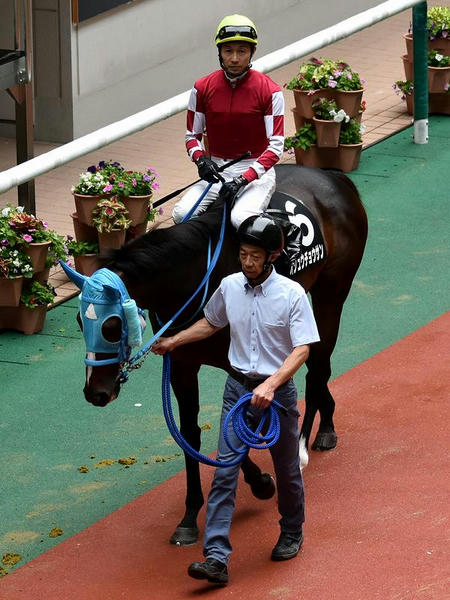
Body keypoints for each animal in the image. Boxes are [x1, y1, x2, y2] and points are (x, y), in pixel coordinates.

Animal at [65, 163, 368, 544]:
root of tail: (332, 176)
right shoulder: (182, 363)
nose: (96, 393)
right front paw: (190, 515)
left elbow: (239, 422)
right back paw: (327, 422)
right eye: (79, 320)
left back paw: (301, 445)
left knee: (318, 367)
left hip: (332, 291)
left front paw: (262, 482)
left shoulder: (238, 363)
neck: (193, 280)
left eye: (112, 325)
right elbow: (188, 431)